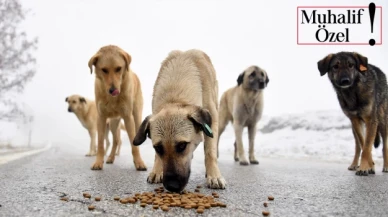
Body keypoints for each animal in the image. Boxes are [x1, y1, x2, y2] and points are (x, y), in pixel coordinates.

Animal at [133, 48, 226, 192]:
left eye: (182, 145)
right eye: (158, 148)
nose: (172, 186)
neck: (175, 96)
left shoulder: (213, 121)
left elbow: (210, 152)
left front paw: (214, 175)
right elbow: (156, 157)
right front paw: (157, 170)